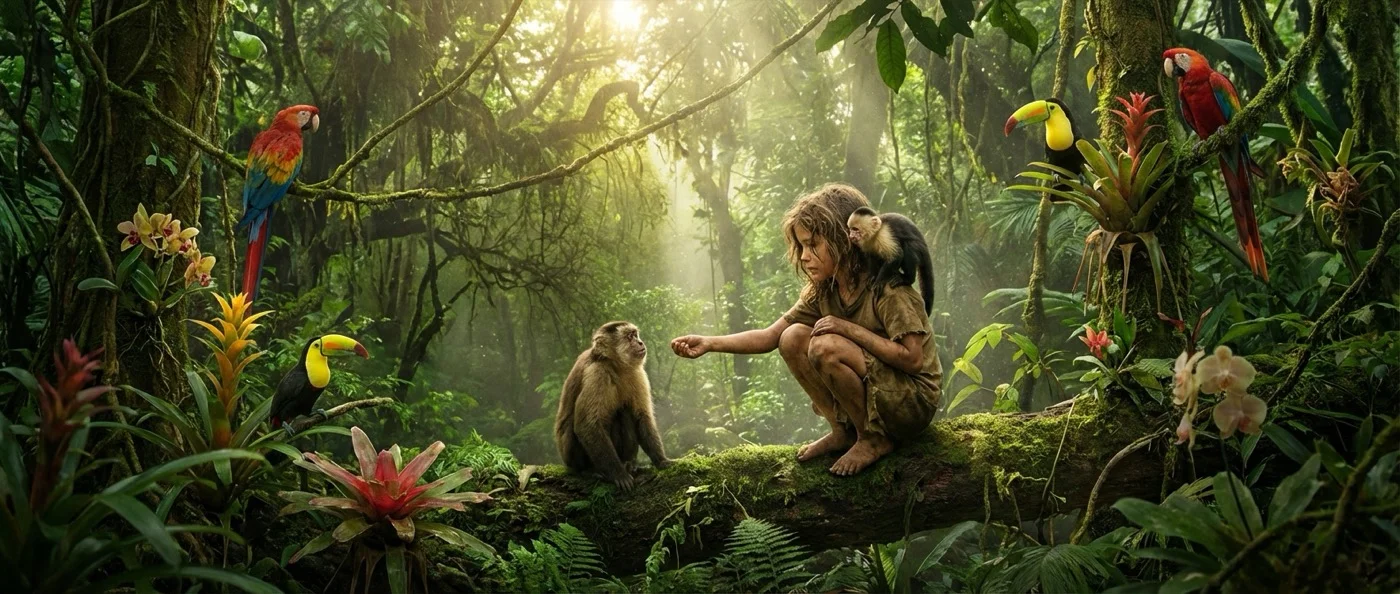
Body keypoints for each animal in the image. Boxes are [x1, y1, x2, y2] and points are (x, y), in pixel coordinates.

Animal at [554, 321, 672, 491]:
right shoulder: (596, 373)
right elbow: (586, 425)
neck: (615, 367)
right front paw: (618, 474)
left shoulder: (638, 374)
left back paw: (628, 464)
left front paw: (661, 461)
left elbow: (642, 417)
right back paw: (589, 470)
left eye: (635, 335)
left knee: (625, 411)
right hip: (570, 458)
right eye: (630, 337)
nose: (640, 342)